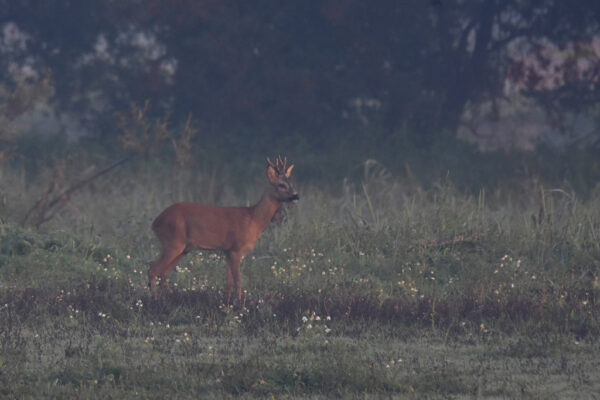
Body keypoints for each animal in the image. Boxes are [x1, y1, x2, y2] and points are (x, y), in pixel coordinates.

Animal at [148, 156, 298, 304]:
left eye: (291, 183)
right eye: (281, 185)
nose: (296, 195)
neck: (254, 219)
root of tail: (155, 222)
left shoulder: (227, 251)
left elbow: (229, 282)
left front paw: (227, 302)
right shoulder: (236, 249)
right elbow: (238, 281)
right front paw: (239, 304)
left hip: (184, 248)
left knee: (163, 272)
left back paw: (166, 299)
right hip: (173, 242)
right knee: (153, 270)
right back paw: (155, 301)